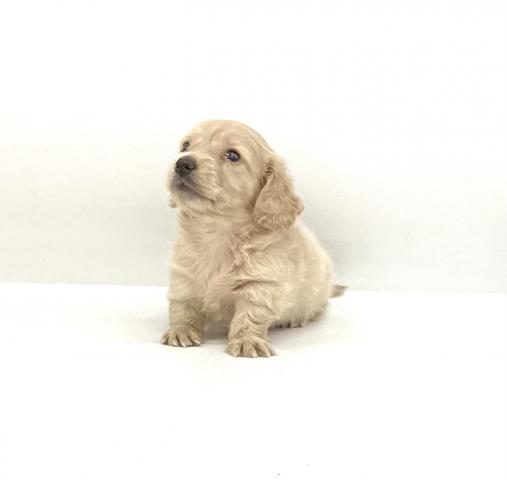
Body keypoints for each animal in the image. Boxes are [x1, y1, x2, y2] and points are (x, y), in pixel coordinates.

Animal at [161, 120, 345, 357]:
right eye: (185, 146)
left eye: (233, 155)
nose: (183, 163)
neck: (216, 231)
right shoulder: (183, 275)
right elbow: (182, 306)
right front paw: (180, 330)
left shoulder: (260, 284)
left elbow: (249, 316)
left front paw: (247, 341)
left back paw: (296, 319)